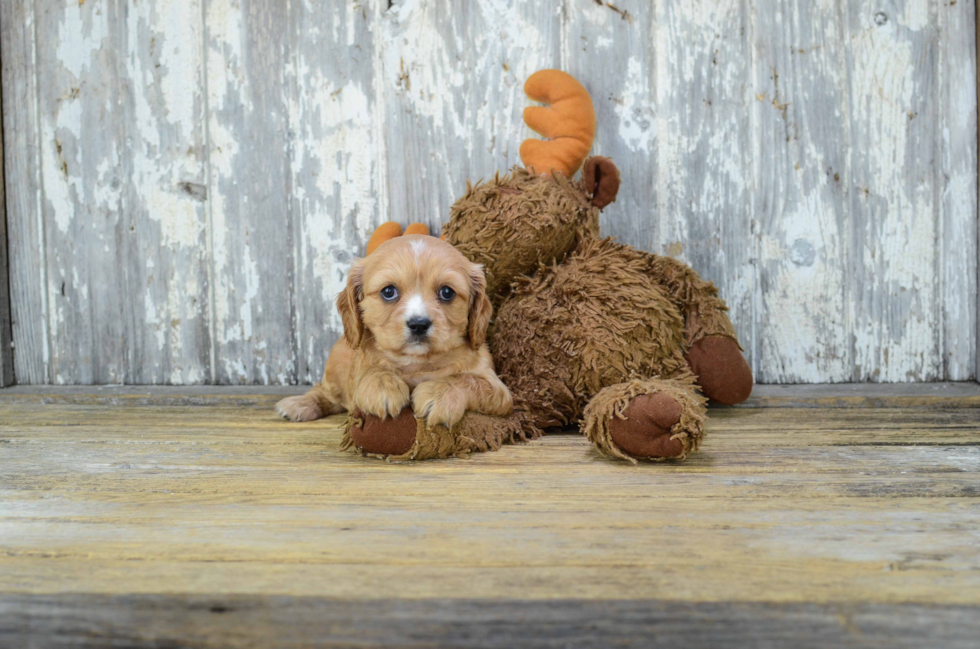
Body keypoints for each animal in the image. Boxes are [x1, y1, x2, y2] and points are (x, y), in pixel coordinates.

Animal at [272, 235, 510, 428]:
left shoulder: (498, 389)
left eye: (447, 292)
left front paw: (439, 394)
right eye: (388, 291)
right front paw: (383, 386)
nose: (419, 324)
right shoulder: (358, 371)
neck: (418, 363)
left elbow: (467, 380)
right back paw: (299, 404)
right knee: (325, 393)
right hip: (334, 369)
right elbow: (371, 371)